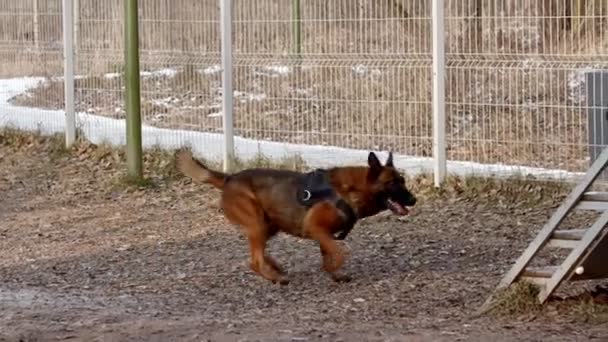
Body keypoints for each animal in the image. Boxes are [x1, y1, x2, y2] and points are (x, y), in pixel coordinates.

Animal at [173, 150, 416, 284]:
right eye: (392, 183)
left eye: (403, 181)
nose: (413, 200)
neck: (350, 190)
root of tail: (229, 178)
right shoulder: (317, 228)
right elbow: (339, 253)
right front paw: (336, 267)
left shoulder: (324, 234)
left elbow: (328, 257)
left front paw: (335, 274)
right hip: (257, 224)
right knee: (254, 260)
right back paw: (276, 278)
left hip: (268, 226)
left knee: (258, 253)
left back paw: (275, 267)